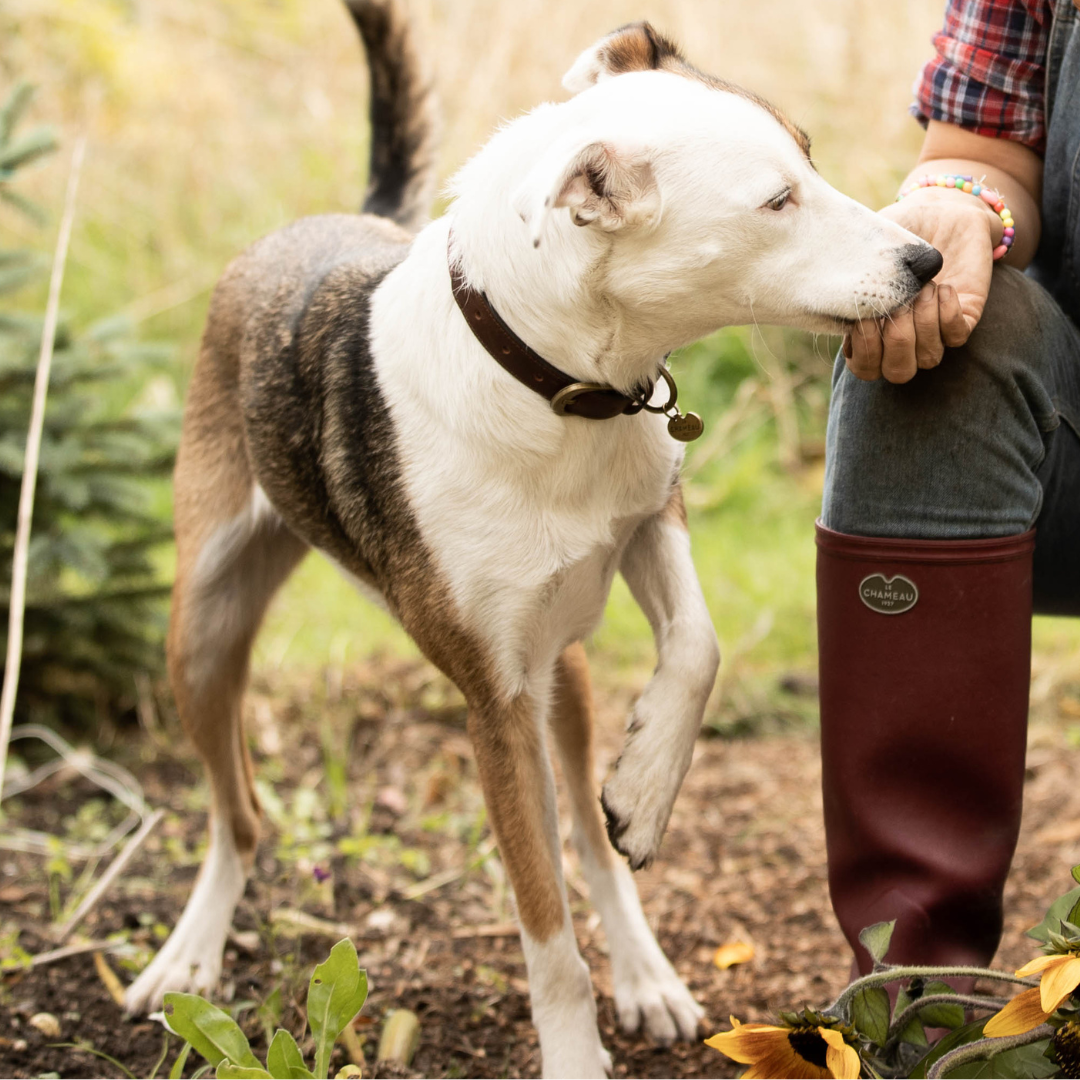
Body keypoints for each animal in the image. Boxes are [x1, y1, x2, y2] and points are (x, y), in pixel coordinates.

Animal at [122, 4, 941, 1075]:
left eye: (809, 155)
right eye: (776, 202)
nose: (927, 261)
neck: (560, 386)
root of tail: (335, 221)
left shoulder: (648, 524)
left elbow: (697, 648)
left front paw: (646, 788)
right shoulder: (496, 703)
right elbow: (543, 923)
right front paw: (573, 1051)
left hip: (566, 669)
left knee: (591, 839)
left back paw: (644, 956)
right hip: (205, 630)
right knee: (237, 816)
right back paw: (189, 955)